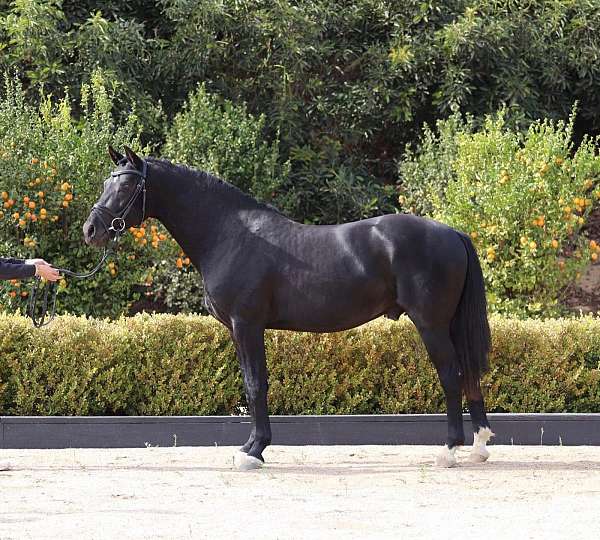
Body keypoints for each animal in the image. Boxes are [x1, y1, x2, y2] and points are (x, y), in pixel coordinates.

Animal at [84, 148, 494, 468]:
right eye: (107, 183)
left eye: (126, 186)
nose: (92, 230)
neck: (229, 235)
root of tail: (453, 233)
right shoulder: (240, 329)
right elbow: (252, 384)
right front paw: (251, 446)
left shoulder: (247, 325)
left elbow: (255, 384)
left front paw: (254, 451)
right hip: (449, 324)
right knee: (469, 375)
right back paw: (479, 446)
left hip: (431, 324)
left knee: (451, 375)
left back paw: (449, 451)